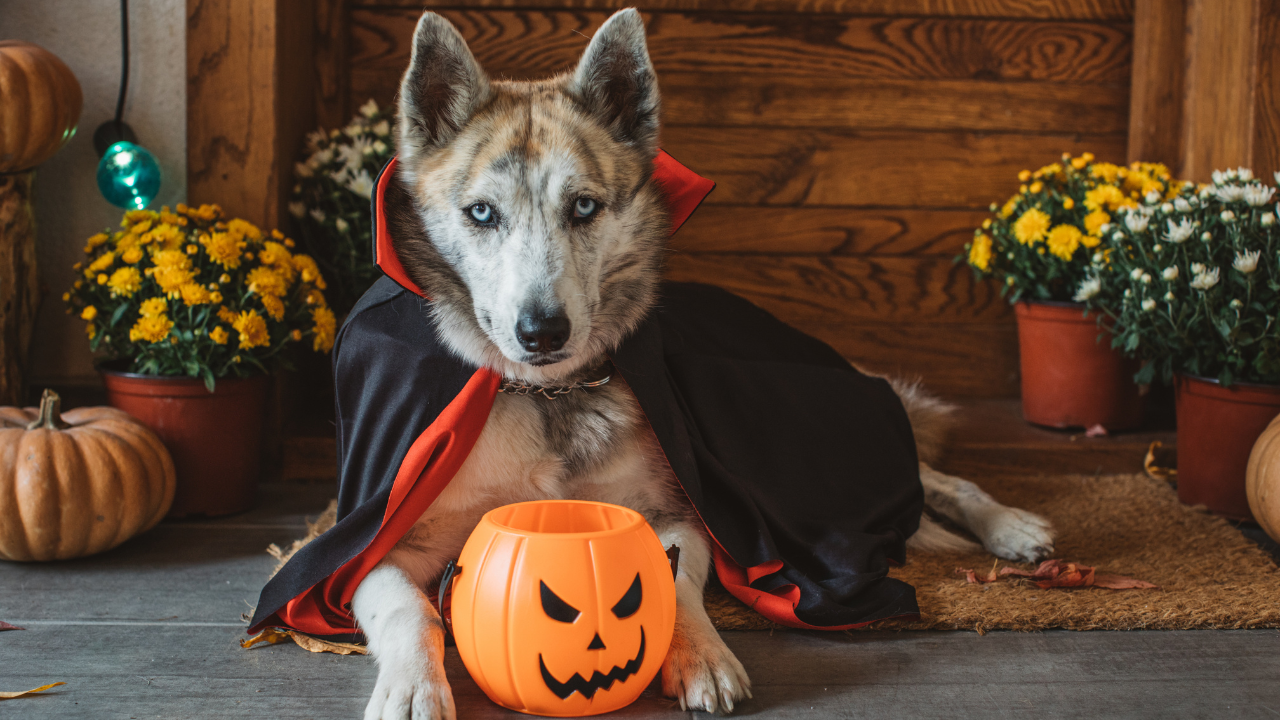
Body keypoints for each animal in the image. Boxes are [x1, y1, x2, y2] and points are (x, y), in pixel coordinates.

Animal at [350, 8, 1049, 712]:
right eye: (482, 213)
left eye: (583, 206)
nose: (542, 332)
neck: (548, 395)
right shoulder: (380, 545)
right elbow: (409, 609)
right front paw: (413, 686)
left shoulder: (678, 512)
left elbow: (672, 580)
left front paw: (702, 656)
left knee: (933, 477)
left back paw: (1012, 528)